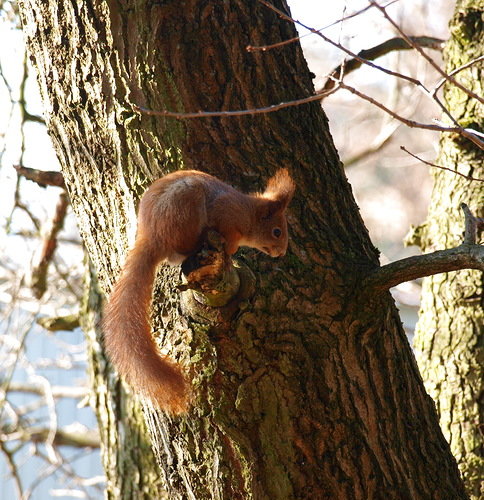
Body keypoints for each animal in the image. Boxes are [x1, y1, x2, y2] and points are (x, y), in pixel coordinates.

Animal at [103, 168, 294, 414]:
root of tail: (153, 236)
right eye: (277, 231)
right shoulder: (226, 212)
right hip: (186, 208)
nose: (281, 253)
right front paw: (231, 250)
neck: (248, 211)